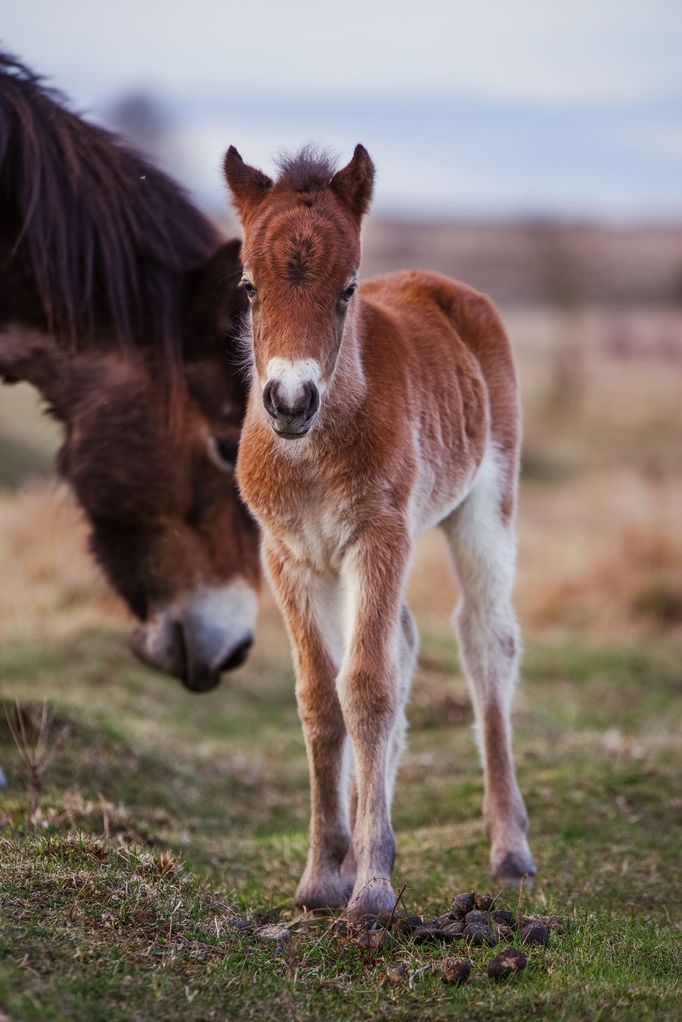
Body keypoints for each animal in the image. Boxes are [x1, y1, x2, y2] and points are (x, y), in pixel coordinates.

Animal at [226, 144, 535, 919]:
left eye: (347, 290)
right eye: (247, 287)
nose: (290, 400)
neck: (313, 451)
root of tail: (444, 287)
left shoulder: (380, 536)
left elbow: (365, 687)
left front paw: (371, 886)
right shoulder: (290, 555)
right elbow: (320, 694)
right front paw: (322, 875)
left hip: (485, 505)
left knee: (485, 641)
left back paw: (511, 849)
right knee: (404, 646)